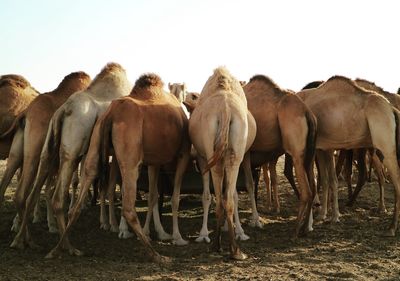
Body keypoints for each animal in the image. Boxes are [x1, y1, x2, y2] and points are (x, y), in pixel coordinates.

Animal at [10, 62, 130, 248]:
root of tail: (64, 110)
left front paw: (108, 223)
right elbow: (118, 186)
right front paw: (119, 228)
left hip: (46, 151)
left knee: (28, 192)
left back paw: (23, 240)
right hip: (72, 149)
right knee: (57, 196)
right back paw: (66, 245)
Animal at [188, 66, 256, 260]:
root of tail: (225, 109)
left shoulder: (204, 157)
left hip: (216, 154)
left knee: (223, 197)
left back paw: (222, 246)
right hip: (233, 154)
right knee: (227, 197)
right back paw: (233, 249)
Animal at [242, 75, 318, 235]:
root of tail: (308, 114)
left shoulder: (245, 152)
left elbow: (249, 184)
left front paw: (255, 221)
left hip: (296, 153)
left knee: (307, 191)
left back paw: (296, 229)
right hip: (310, 154)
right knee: (313, 187)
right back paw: (306, 227)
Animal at [296, 75, 400, 235]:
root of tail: (392, 109)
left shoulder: (315, 148)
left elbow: (319, 181)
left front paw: (322, 220)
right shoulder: (323, 148)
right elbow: (327, 179)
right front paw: (324, 215)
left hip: (386, 147)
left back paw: (392, 227)